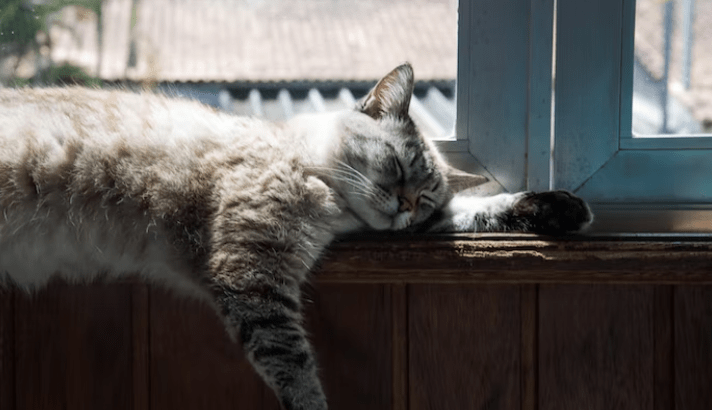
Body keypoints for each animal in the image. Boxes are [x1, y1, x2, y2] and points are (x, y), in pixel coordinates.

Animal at [0, 62, 588, 408]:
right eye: (397, 167)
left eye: (423, 198)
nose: (402, 208)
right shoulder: (252, 271)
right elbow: (296, 369)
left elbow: (478, 209)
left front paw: (561, 209)